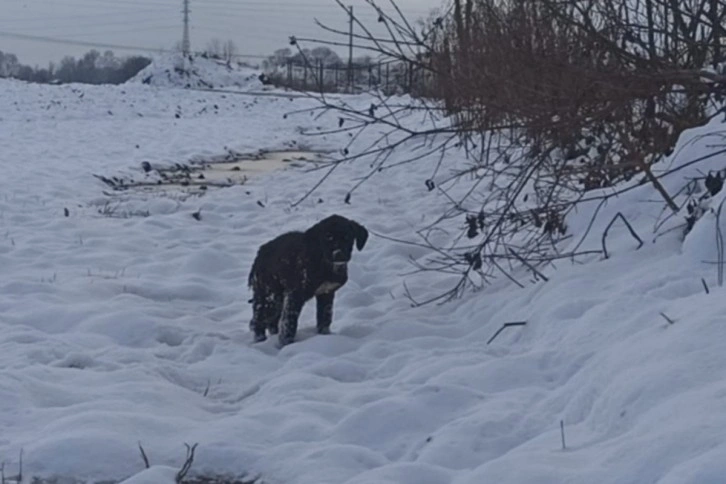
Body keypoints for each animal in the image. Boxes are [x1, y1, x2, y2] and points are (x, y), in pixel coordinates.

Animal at [249, 215, 370, 344]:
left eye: (347, 237)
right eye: (328, 237)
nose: (339, 255)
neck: (324, 263)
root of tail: (260, 253)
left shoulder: (327, 292)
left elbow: (325, 318)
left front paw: (325, 336)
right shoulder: (295, 295)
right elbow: (289, 323)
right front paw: (286, 344)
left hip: (279, 297)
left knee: (271, 321)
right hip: (269, 295)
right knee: (258, 320)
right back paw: (260, 340)